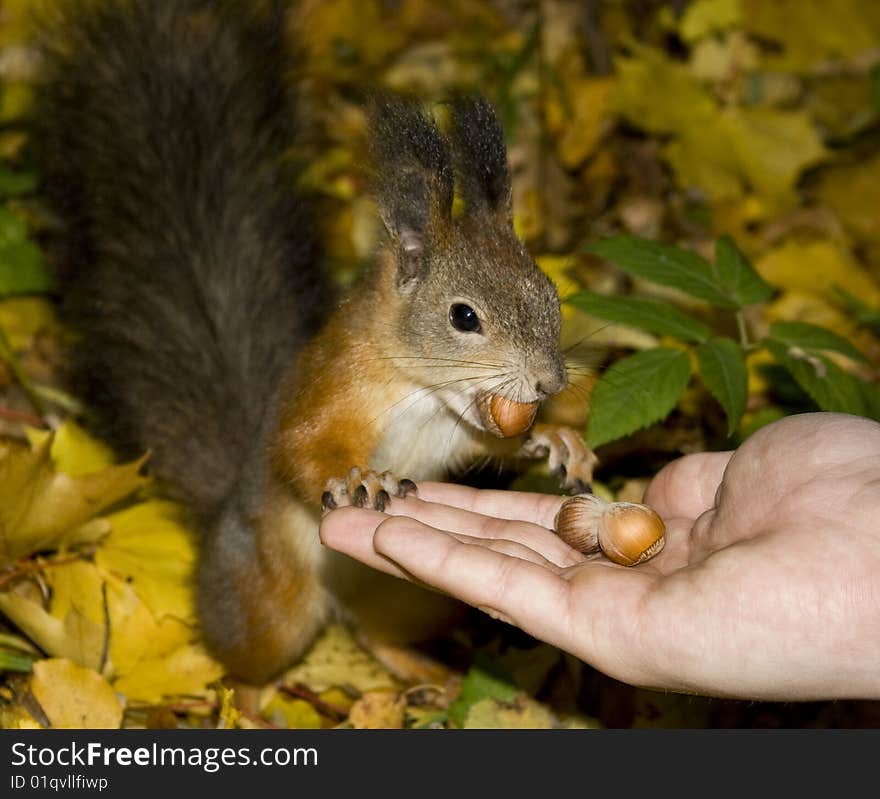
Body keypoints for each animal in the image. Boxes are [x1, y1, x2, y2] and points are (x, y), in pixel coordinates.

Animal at [32, 1, 600, 688]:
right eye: (464, 317)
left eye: (550, 294)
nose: (550, 384)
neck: (423, 393)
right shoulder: (335, 384)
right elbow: (301, 446)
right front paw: (357, 478)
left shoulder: (461, 432)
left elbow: (493, 445)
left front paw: (558, 440)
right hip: (270, 598)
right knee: (247, 663)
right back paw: (253, 700)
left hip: (408, 593)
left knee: (375, 633)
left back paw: (428, 677)